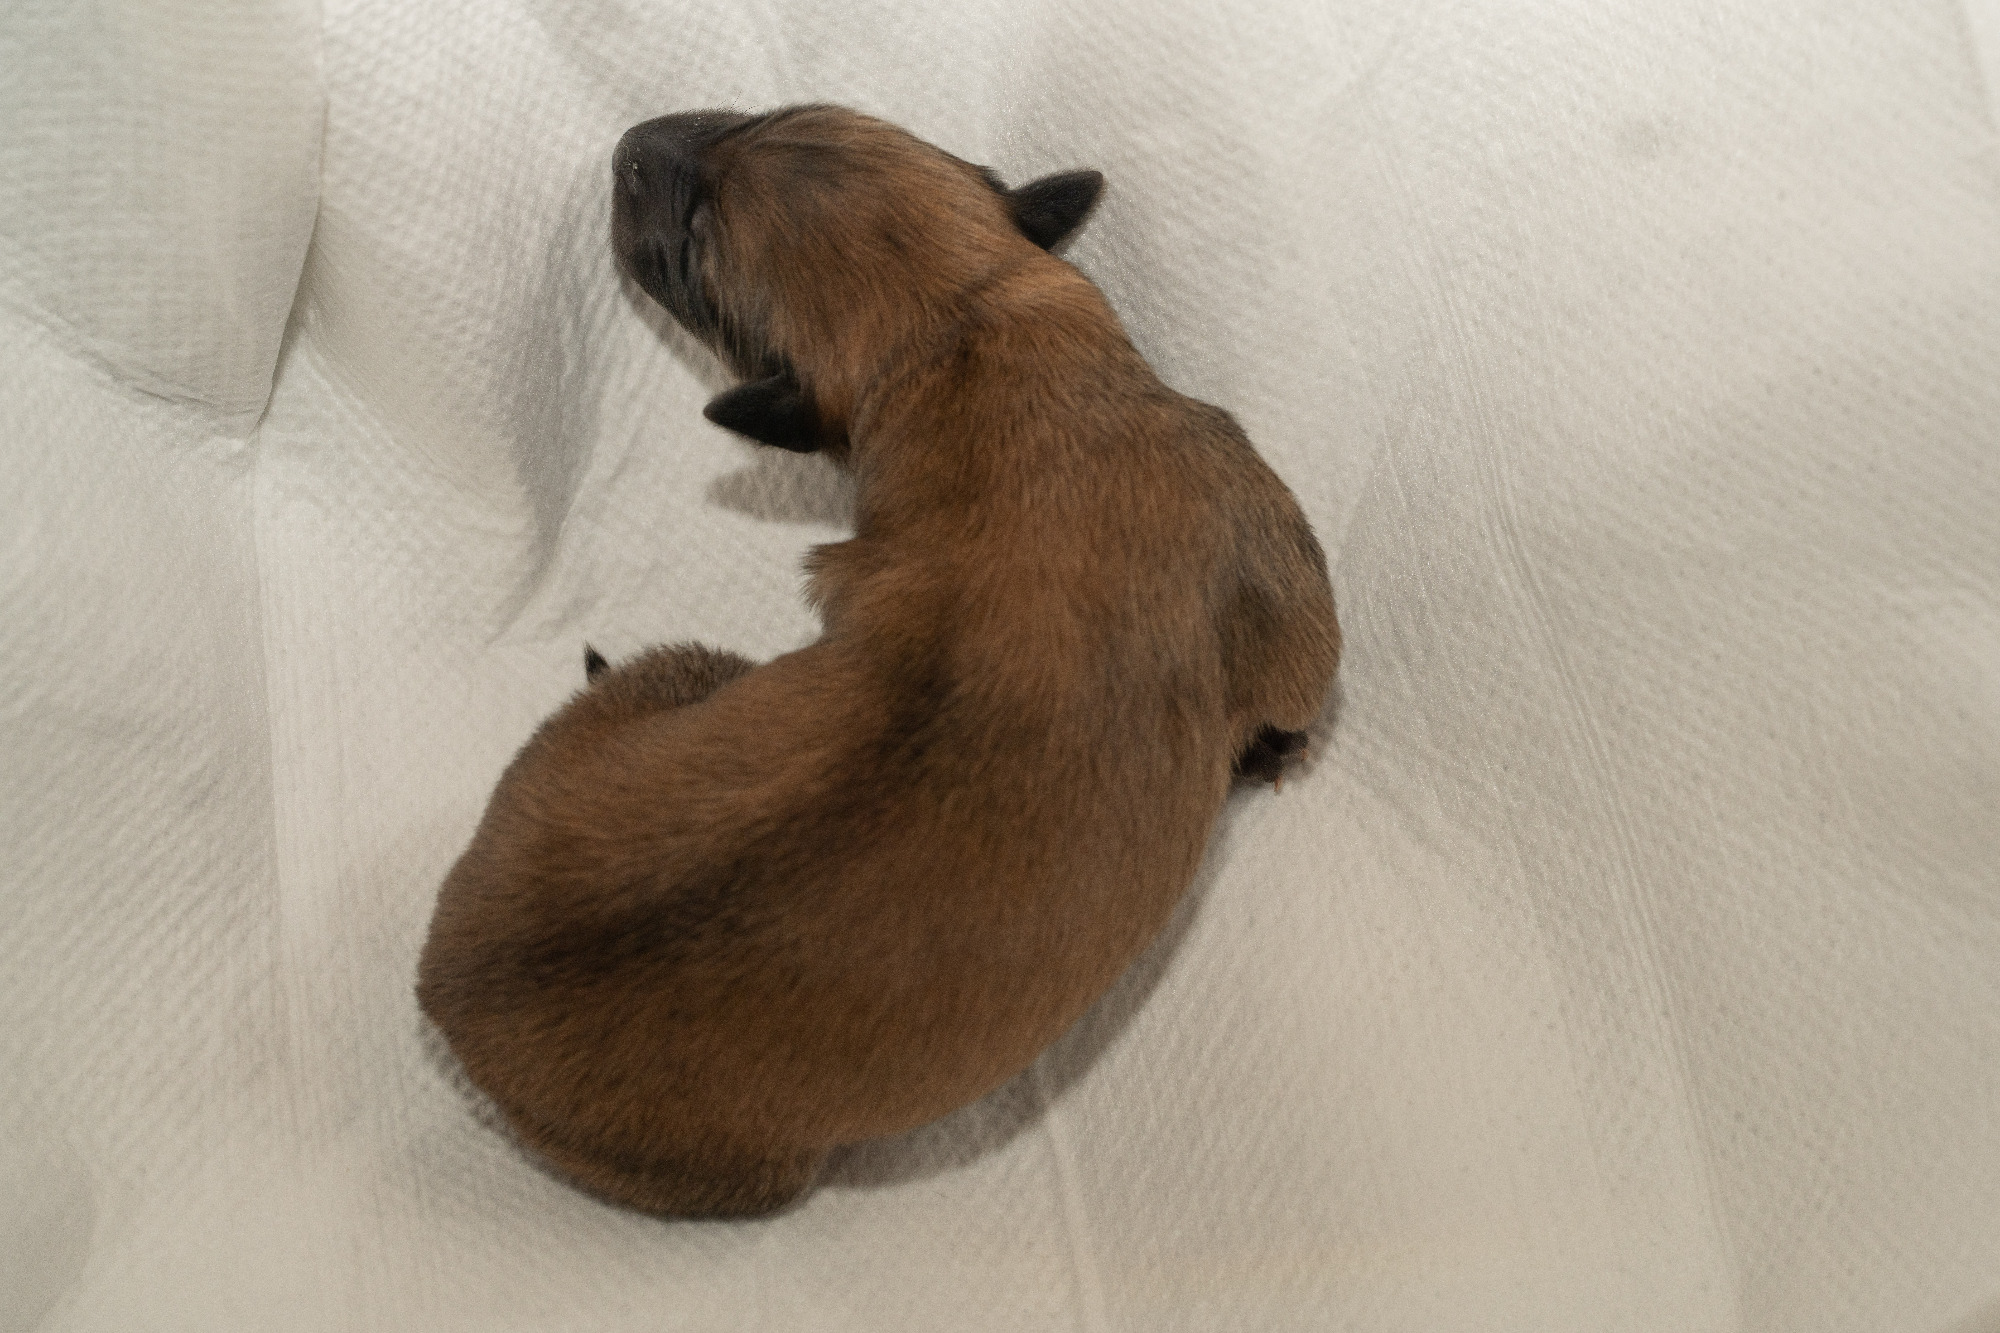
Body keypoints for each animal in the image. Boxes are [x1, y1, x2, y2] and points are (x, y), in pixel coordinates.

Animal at [417, 105, 1339, 1218]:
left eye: (764, 120)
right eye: (691, 251)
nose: (631, 145)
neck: (952, 335)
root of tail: (449, 990)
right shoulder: (1276, 566)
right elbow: (1303, 675)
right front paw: (1278, 751)